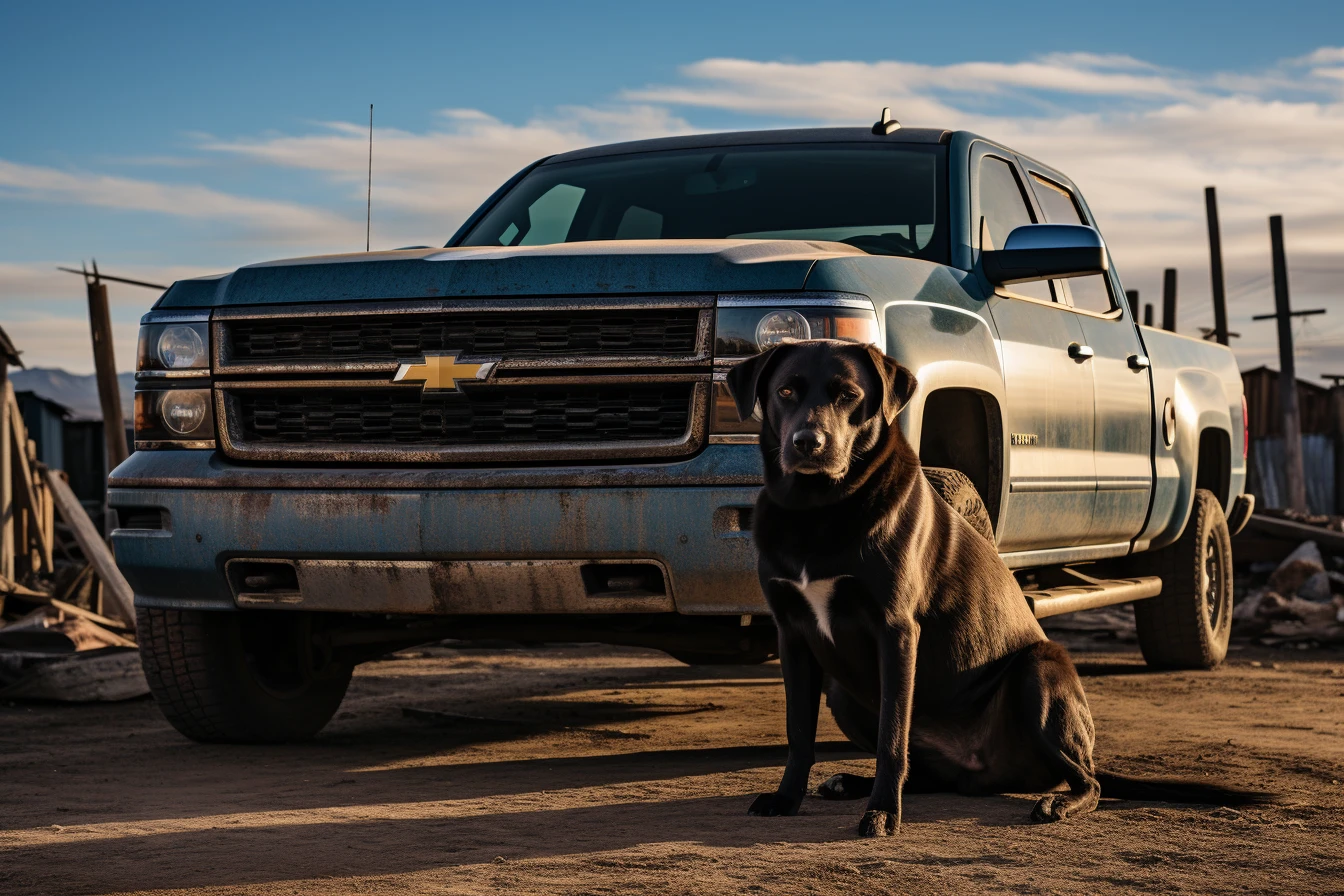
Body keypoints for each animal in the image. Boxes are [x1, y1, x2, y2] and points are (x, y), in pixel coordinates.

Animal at [725, 339, 1257, 838]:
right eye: (785, 392)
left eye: (848, 395)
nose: (807, 443)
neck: (818, 511)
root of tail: (979, 768)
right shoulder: (793, 634)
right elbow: (800, 733)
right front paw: (786, 799)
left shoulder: (896, 631)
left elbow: (891, 737)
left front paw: (882, 815)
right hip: (842, 691)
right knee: (922, 771)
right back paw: (852, 783)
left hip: (1039, 670)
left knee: (1088, 780)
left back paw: (1057, 803)